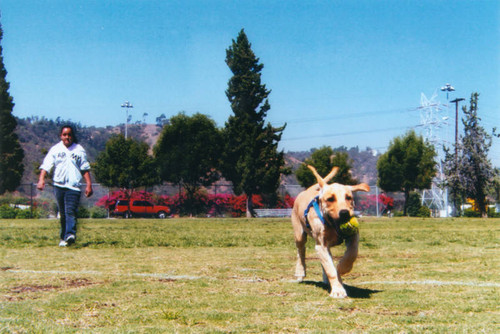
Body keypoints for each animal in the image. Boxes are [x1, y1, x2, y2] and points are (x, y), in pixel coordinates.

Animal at [292, 164, 370, 298]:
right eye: (330, 199)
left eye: (348, 197)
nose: (344, 213)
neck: (331, 225)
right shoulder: (321, 245)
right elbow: (330, 269)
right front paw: (338, 290)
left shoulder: (354, 236)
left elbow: (352, 253)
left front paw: (342, 268)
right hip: (299, 234)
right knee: (301, 252)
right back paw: (300, 272)